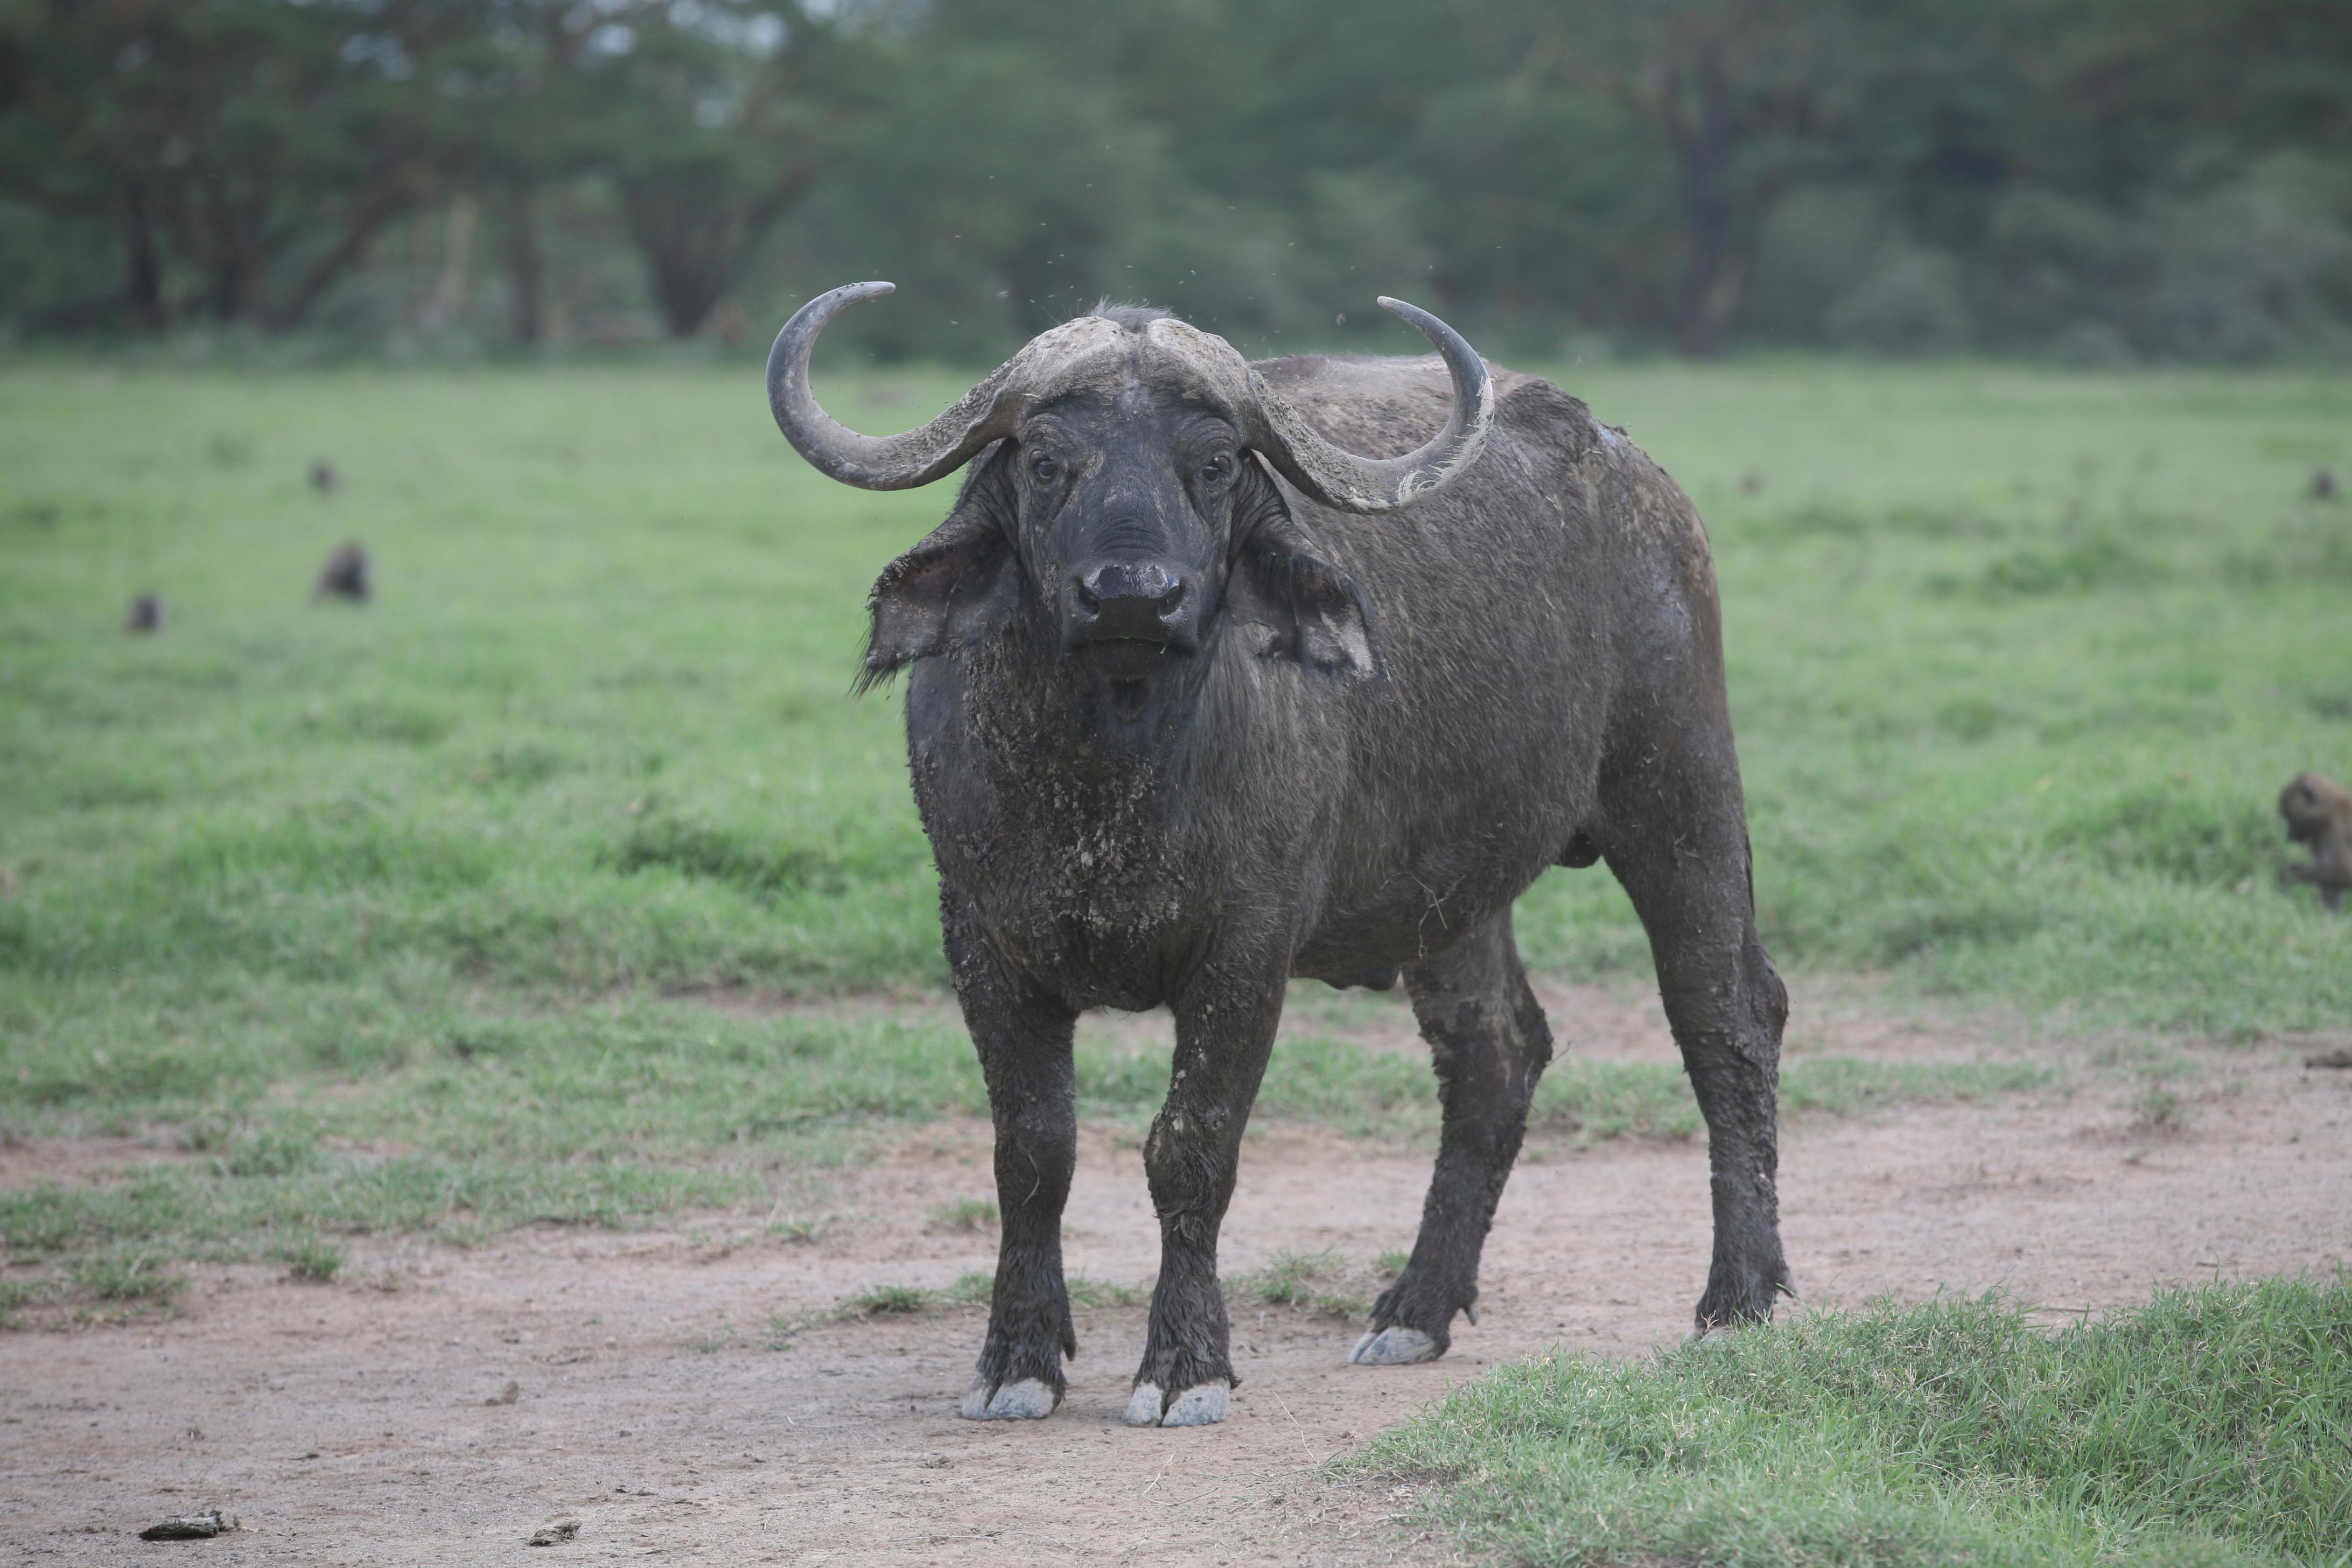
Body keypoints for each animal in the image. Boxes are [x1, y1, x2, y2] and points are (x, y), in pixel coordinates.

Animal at [762, 276, 1787, 1429]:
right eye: (1045, 459)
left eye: (1211, 464)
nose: (1132, 594)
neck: (1112, 771)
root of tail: (1638, 479)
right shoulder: (981, 937)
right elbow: (1031, 1149)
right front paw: (1016, 1356)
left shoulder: (1245, 948)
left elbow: (1189, 1145)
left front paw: (1184, 1363)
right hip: (1452, 893)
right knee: (1495, 1054)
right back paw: (1414, 1309)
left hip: (1679, 789)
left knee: (1724, 1014)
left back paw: (1737, 1299)